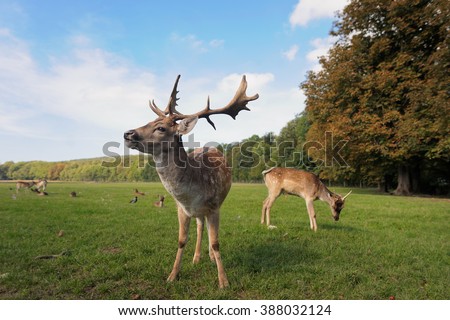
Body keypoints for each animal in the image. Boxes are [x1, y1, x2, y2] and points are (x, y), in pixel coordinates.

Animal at [123, 74, 258, 288]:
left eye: (160, 128)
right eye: (149, 120)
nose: (128, 134)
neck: (190, 194)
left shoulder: (214, 206)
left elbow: (216, 242)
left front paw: (223, 281)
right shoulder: (181, 208)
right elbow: (181, 240)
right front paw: (172, 276)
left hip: (216, 204)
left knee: (208, 230)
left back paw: (209, 257)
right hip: (199, 213)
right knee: (201, 226)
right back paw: (196, 258)